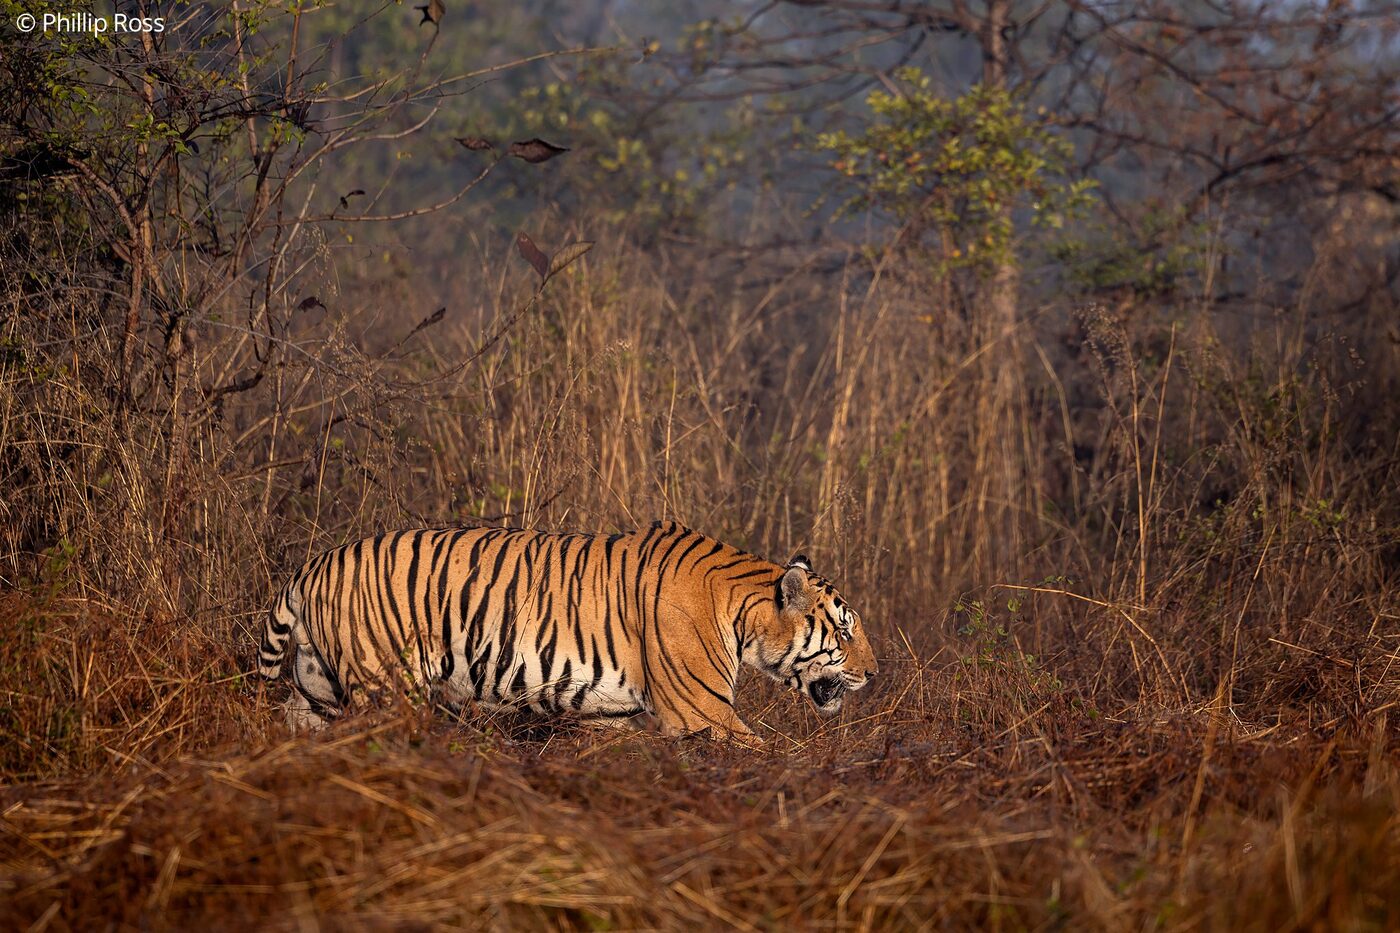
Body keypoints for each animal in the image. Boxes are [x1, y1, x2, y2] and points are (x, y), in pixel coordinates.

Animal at [256, 520, 877, 741]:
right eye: (845, 631)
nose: (874, 673)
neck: (741, 611)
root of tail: (311, 566)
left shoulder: (620, 713)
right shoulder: (701, 712)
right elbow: (772, 756)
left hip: (318, 689)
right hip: (386, 686)